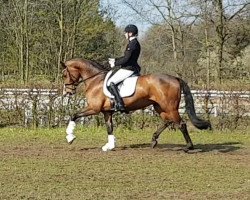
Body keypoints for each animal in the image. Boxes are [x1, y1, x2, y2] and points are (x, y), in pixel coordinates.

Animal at [60, 57, 211, 152]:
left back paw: (188, 147)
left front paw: (70, 137)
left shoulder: (94, 108)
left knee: (181, 124)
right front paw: (110, 146)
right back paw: (153, 140)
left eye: (64, 75)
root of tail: (175, 78)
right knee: (167, 121)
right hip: (160, 107)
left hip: (170, 107)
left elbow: (73, 115)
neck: (95, 80)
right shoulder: (107, 112)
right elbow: (109, 128)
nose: (67, 92)